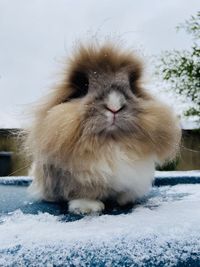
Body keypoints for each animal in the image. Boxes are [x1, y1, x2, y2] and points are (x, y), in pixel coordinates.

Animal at [25, 43, 181, 216]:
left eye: (131, 86)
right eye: (84, 86)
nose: (115, 106)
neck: (110, 143)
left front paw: (125, 200)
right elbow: (82, 194)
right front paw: (87, 208)